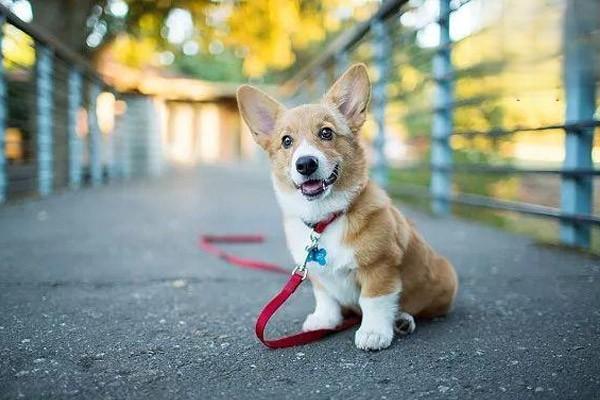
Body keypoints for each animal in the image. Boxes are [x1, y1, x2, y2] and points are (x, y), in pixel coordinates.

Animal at [237, 62, 458, 350]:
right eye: (286, 141)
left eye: (326, 133)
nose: (305, 164)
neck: (326, 218)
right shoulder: (318, 275)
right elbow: (326, 298)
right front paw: (325, 320)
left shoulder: (379, 268)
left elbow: (374, 301)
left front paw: (374, 333)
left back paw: (402, 319)